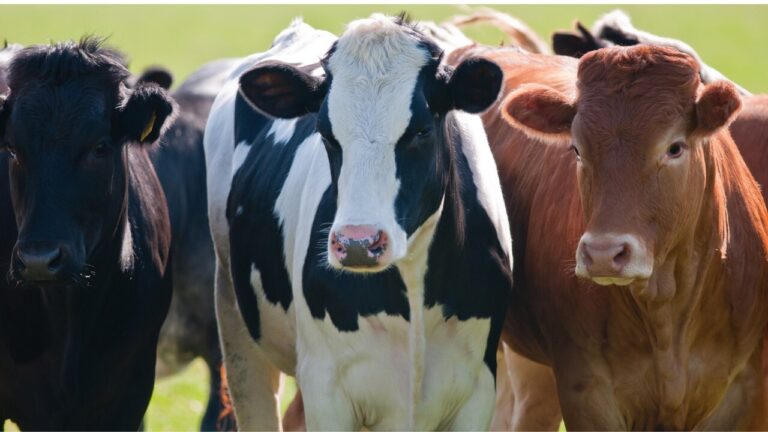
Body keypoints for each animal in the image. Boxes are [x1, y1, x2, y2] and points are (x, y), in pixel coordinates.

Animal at [205, 15, 512, 430]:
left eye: (421, 131)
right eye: (325, 134)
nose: (357, 244)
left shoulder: (478, 388)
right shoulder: (325, 387)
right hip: (236, 327)